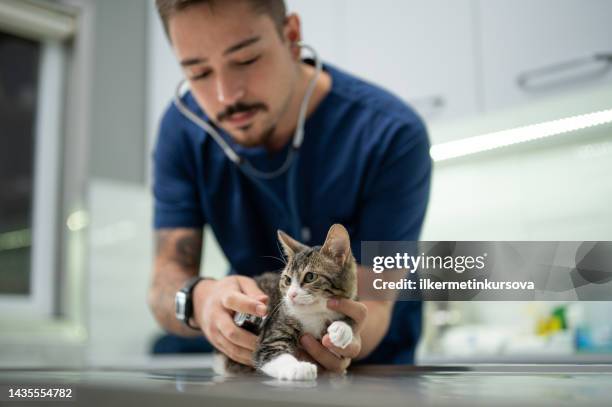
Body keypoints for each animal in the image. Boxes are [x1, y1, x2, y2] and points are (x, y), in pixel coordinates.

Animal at [225, 222, 358, 380]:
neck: (314, 313)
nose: (291, 295)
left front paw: (342, 329)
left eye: (310, 277)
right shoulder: (274, 329)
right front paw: (298, 368)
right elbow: (271, 351)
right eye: (287, 280)